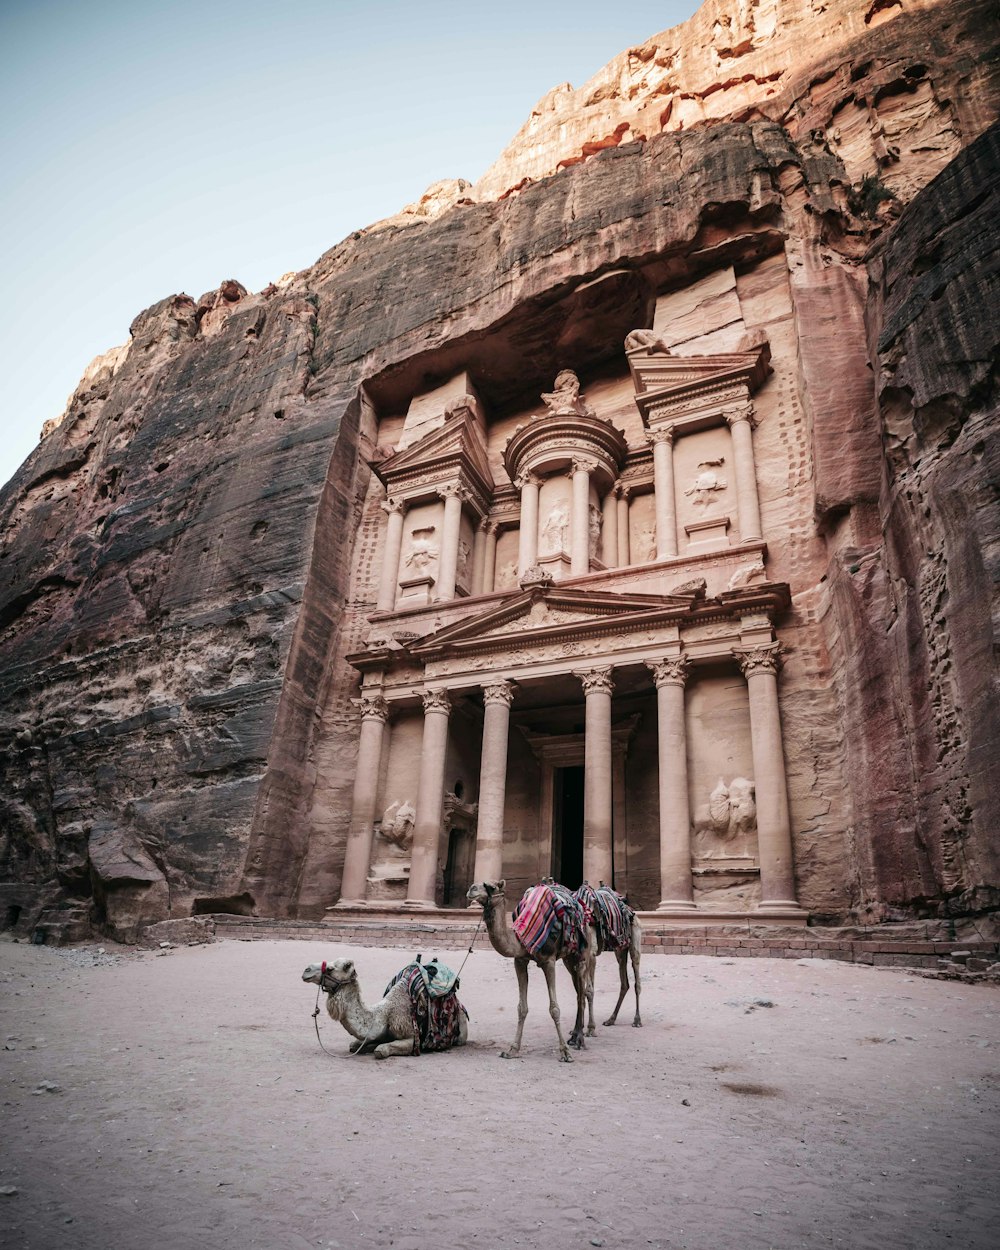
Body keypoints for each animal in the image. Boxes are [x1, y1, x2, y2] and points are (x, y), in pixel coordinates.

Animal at [301, 960, 470, 1060]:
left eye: (330, 969)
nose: (306, 970)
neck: (381, 1014)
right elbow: (355, 1045)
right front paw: (364, 1046)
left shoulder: (410, 1035)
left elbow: (381, 1050)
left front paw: (377, 1048)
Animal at [467, 880, 597, 1065]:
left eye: (491, 887)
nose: (472, 889)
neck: (521, 936)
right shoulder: (520, 960)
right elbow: (522, 1008)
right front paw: (512, 1050)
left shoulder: (549, 961)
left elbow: (554, 1009)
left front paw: (565, 1053)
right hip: (568, 958)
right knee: (579, 991)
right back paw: (574, 1036)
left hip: (581, 953)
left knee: (582, 993)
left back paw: (579, 1039)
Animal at [575, 875, 645, 1030]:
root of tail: (632, 912)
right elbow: (581, 990)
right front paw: (577, 1029)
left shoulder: (591, 954)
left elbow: (589, 990)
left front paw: (589, 1028)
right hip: (620, 949)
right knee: (625, 983)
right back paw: (611, 1019)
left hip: (635, 940)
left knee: (637, 980)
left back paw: (637, 1020)